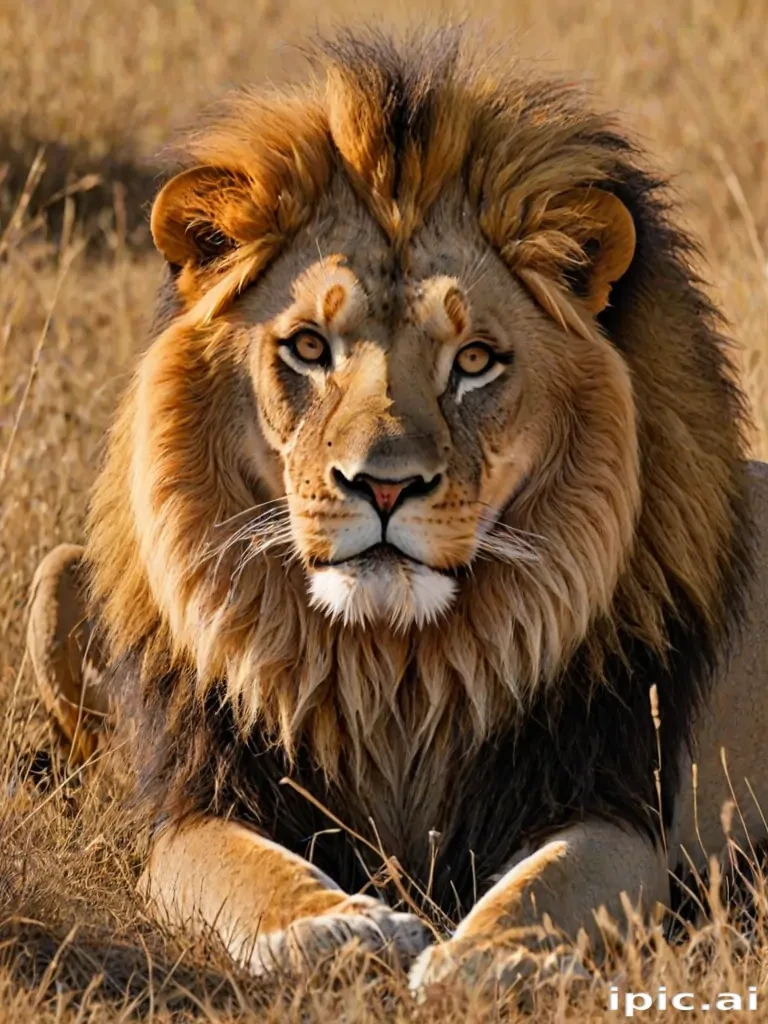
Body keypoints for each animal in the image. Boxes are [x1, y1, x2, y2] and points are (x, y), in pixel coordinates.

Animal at [25, 27, 768, 992]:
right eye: (309, 347)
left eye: (477, 360)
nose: (382, 485)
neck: (394, 665)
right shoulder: (198, 800)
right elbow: (252, 874)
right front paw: (337, 929)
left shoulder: (613, 796)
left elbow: (548, 888)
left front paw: (479, 963)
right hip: (52, 580)